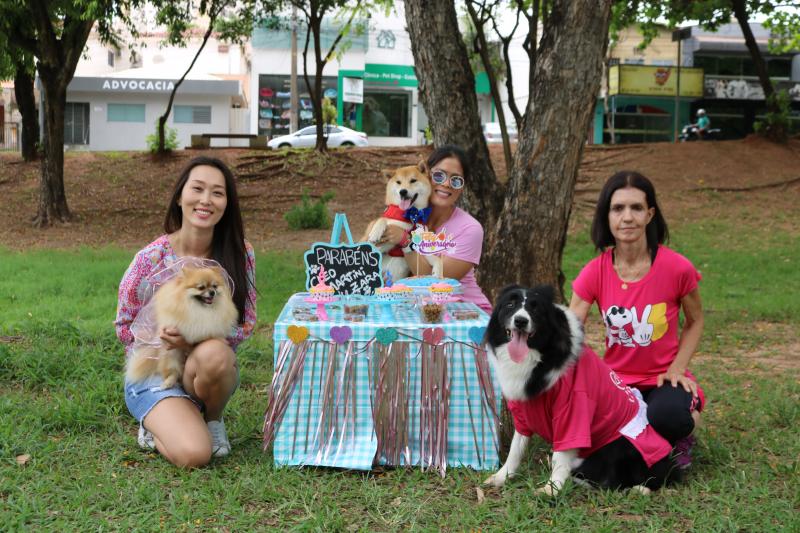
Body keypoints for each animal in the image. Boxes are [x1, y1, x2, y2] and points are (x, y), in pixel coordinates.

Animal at [482, 284, 680, 496]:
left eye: (535, 309)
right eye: (510, 304)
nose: (520, 321)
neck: (539, 357)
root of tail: (668, 467)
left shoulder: (574, 408)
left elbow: (560, 457)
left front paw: (552, 489)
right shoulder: (522, 413)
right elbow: (516, 447)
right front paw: (503, 476)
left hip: (619, 444)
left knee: (613, 482)